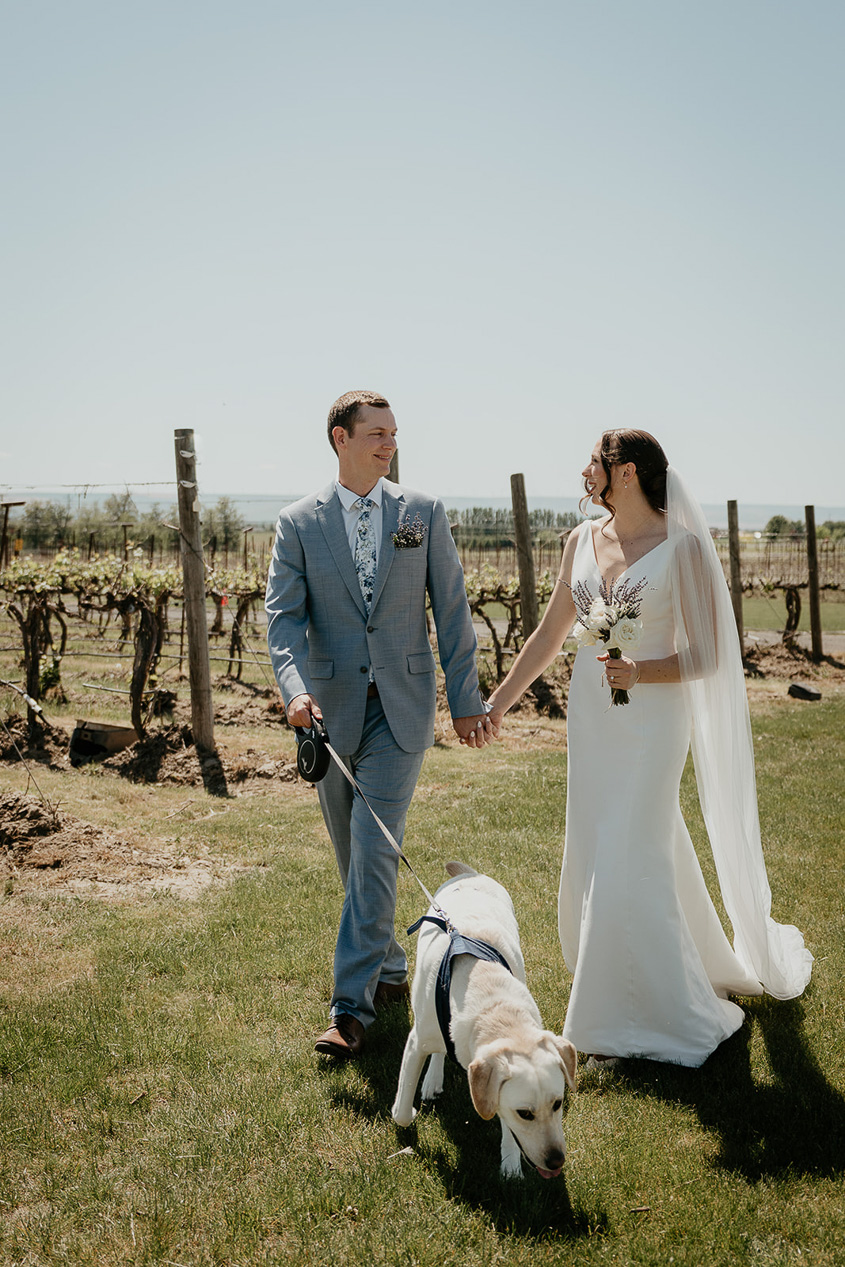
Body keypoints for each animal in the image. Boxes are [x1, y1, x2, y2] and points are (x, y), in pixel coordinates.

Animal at [392, 861, 577, 1175]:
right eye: (525, 1113)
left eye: (558, 1104)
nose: (556, 1162)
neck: (494, 1006)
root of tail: (470, 873)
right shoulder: (416, 1041)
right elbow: (403, 1111)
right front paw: (405, 1111)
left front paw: (511, 1163)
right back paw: (431, 1079)